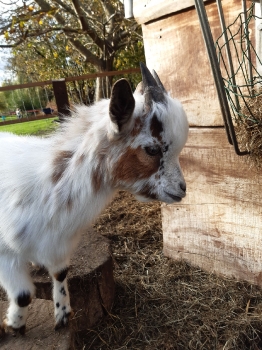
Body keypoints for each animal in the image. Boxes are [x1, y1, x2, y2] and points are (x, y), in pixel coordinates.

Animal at [0, 63, 188, 334]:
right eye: (152, 149)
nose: (182, 189)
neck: (48, 188)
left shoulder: (59, 245)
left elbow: (60, 274)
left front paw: (63, 314)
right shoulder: (6, 254)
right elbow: (23, 295)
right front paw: (13, 326)